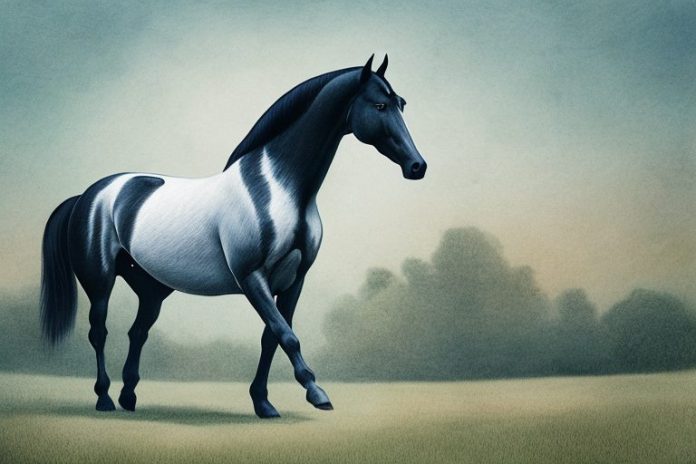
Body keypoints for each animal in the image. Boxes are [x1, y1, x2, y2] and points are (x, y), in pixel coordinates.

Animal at [40, 54, 427, 418]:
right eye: (379, 106)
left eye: (402, 103)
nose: (418, 167)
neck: (278, 190)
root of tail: (89, 195)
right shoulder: (251, 276)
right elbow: (286, 335)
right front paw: (317, 394)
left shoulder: (294, 280)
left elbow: (272, 337)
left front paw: (264, 403)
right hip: (100, 281)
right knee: (99, 332)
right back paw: (105, 398)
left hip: (151, 288)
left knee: (138, 332)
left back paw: (129, 397)